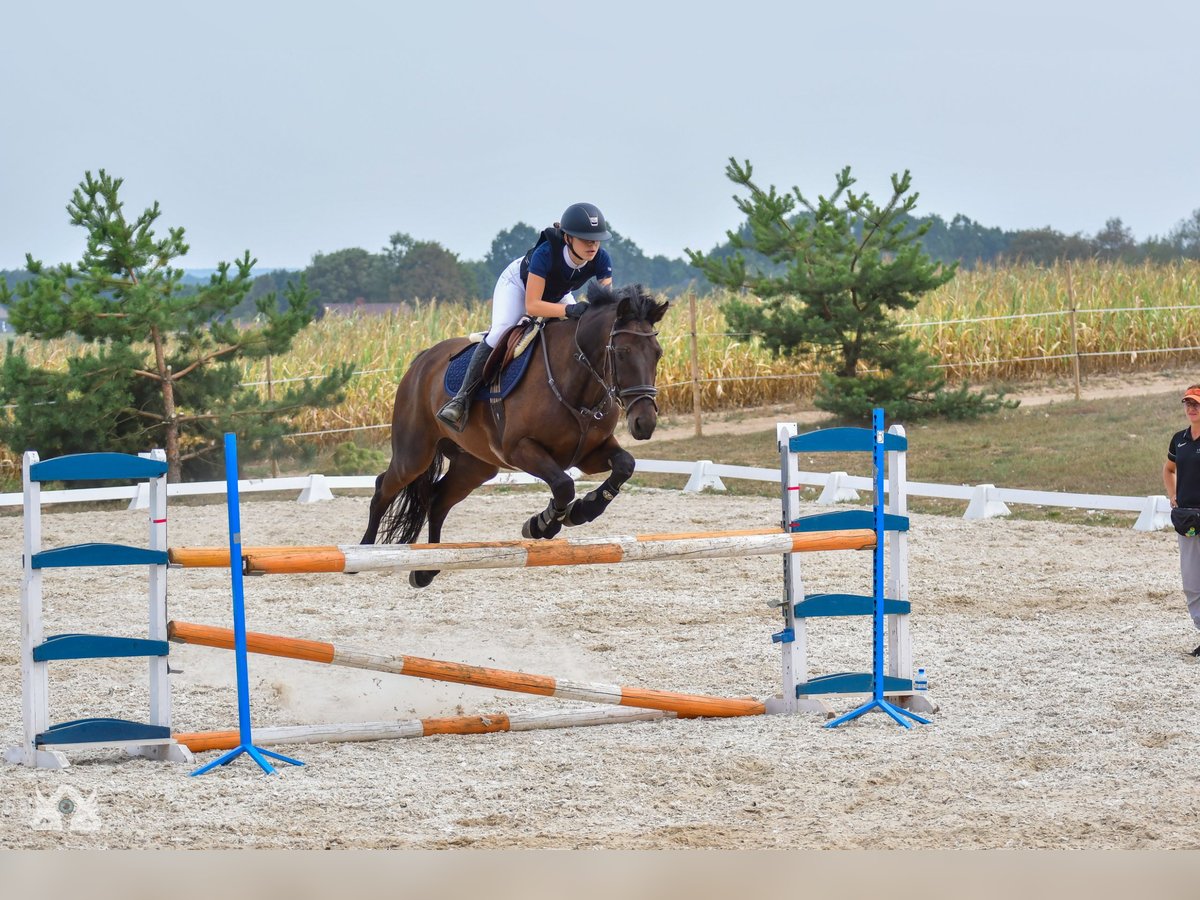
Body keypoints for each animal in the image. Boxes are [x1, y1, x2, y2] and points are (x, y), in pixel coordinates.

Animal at [360, 283, 672, 592]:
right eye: (622, 351)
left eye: (657, 353)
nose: (644, 423)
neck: (576, 383)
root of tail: (422, 360)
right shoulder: (519, 449)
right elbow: (564, 485)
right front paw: (543, 523)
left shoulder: (589, 454)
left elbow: (625, 465)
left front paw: (584, 509)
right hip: (414, 455)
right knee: (383, 487)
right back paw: (363, 551)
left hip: (475, 466)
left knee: (438, 500)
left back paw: (427, 569)